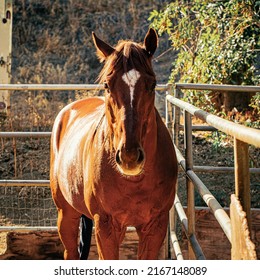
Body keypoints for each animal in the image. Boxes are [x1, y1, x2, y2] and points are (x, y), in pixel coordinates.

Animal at [49, 29, 178, 260]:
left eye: (152, 84)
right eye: (107, 85)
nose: (129, 157)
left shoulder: (155, 226)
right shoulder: (106, 225)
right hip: (66, 214)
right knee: (70, 251)